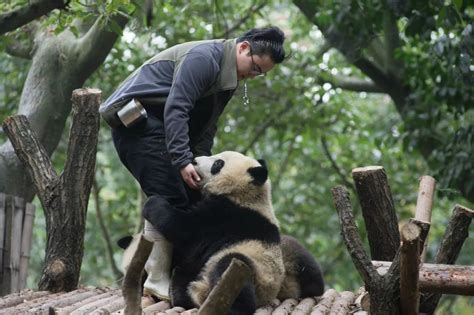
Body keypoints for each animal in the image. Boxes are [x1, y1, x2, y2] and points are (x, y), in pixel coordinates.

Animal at [143, 151, 284, 314]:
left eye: (218, 164)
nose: (194, 161)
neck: (247, 195)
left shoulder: (228, 217)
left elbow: (185, 228)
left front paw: (153, 202)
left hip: (254, 269)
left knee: (229, 269)